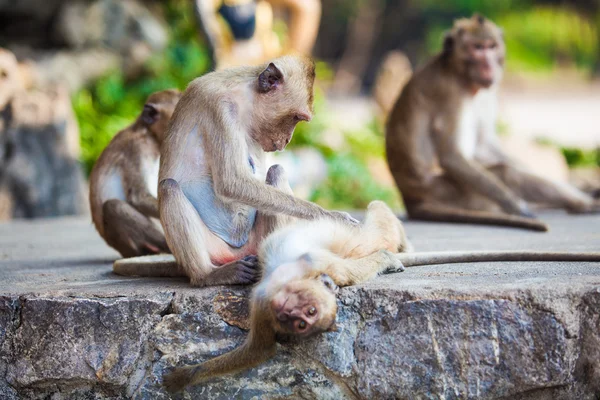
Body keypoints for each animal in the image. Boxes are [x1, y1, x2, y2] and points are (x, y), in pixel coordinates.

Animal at [384, 14, 600, 231]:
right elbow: (451, 156)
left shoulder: (486, 93)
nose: (489, 65)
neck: (461, 75)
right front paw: (516, 205)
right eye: (477, 48)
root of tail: (412, 200)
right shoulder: (448, 93)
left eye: (492, 46)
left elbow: (483, 145)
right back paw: (582, 204)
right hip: (456, 194)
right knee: (507, 173)